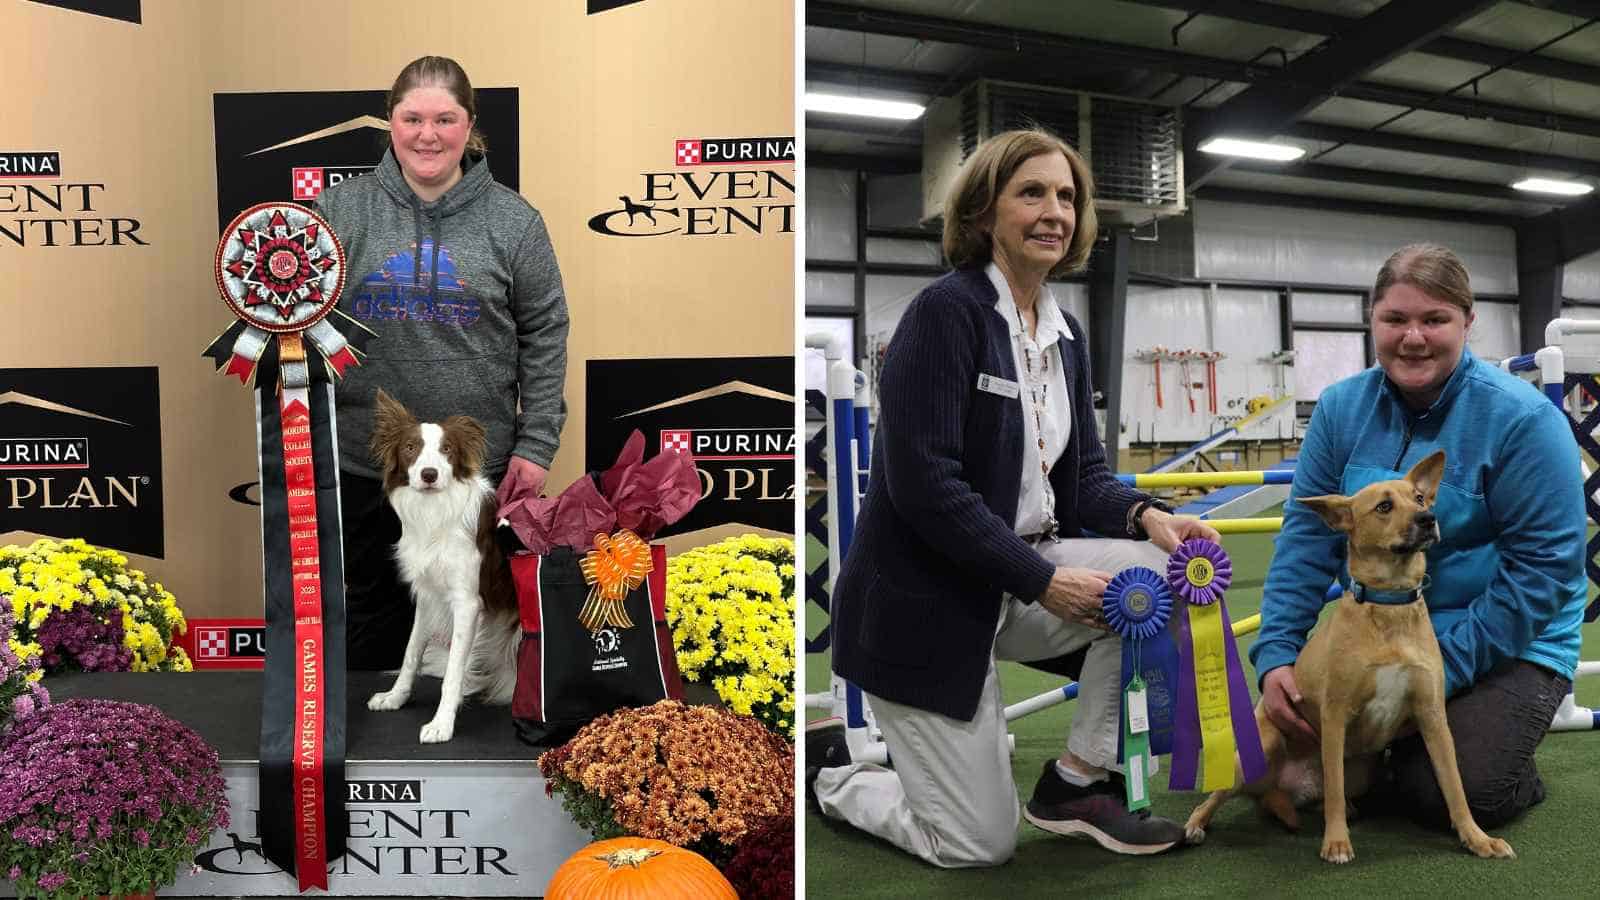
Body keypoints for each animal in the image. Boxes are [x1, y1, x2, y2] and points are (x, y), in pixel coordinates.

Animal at [1190, 451, 1510, 858]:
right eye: (1384, 506)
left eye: (1420, 499)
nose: (1428, 519)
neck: (1388, 605)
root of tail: (1280, 786)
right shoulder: (1335, 716)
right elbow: (1334, 791)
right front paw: (1336, 842)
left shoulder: (1432, 718)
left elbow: (1454, 787)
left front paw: (1476, 837)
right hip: (1257, 752)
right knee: (1220, 796)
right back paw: (1195, 824)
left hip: (1359, 772)